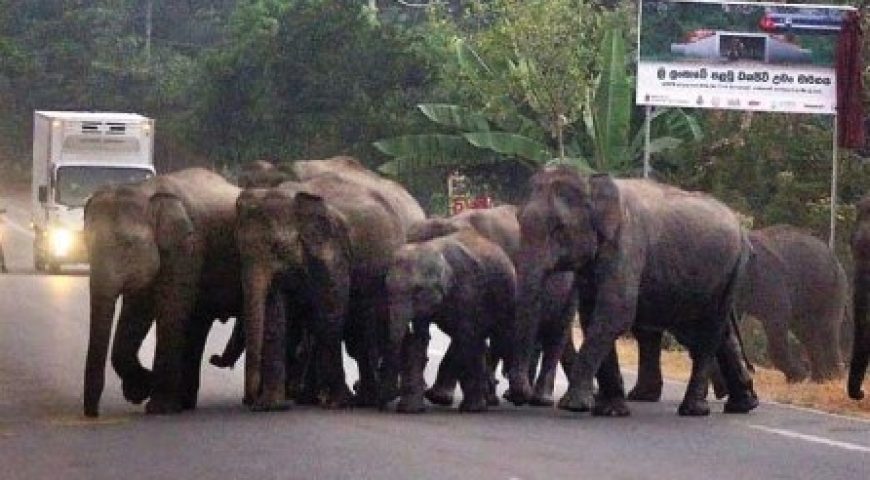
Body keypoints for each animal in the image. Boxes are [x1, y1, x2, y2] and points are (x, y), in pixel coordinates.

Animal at [84, 169, 244, 416]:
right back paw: (185, 403)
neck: (145, 190)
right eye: (85, 243)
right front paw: (140, 389)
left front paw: (156, 406)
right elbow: (137, 312)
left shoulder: (187, 247)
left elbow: (170, 308)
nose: (93, 413)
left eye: (129, 245)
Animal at [235, 157, 426, 408]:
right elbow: (276, 311)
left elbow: (331, 308)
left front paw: (336, 401)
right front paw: (272, 406)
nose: (248, 400)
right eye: (237, 249)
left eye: (277, 247)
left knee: (369, 323)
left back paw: (368, 398)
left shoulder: (334, 248)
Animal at [384, 229, 516, 412]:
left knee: (497, 338)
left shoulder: (468, 291)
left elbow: (466, 336)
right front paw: (411, 409)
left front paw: (471, 409)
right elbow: (419, 338)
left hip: (507, 296)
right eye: (387, 288)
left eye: (418, 290)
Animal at [508, 169, 760, 416]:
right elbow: (593, 316)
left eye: (559, 227)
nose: (518, 397)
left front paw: (574, 406)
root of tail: (742, 229)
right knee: (721, 334)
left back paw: (694, 410)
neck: (591, 183)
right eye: (518, 219)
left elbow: (616, 312)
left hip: (731, 271)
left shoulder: (626, 245)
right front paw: (610, 410)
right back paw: (743, 405)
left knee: (707, 334)